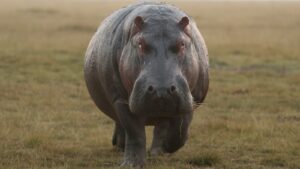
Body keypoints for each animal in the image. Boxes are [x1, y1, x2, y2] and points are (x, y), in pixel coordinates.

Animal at [83, 2, 207, 168]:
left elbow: (181, 130)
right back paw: (120, 145)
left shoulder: (192, 98)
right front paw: (131, 164)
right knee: (122, 125)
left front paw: (165, 148)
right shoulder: (121, 100)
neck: (159, 19)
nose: (162, 89)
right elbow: (135, 133)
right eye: (141, 44)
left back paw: (156, 152)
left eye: (181, 44)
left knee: (162, 127)